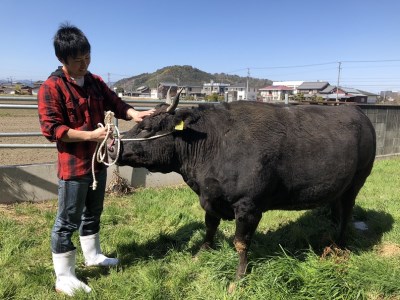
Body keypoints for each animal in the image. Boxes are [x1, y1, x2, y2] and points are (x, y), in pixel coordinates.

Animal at [108, 92, 376, 280]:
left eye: (147, 128)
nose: (111, 146)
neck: (213, 144)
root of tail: (358, 113)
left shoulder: (249, 205)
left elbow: (241, 242)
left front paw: (238, 277)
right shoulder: (211, 197)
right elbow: (210, 227)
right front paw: (201, 253)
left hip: (357, 181)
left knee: (347, 212)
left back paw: (339, 244)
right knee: (337, 208)